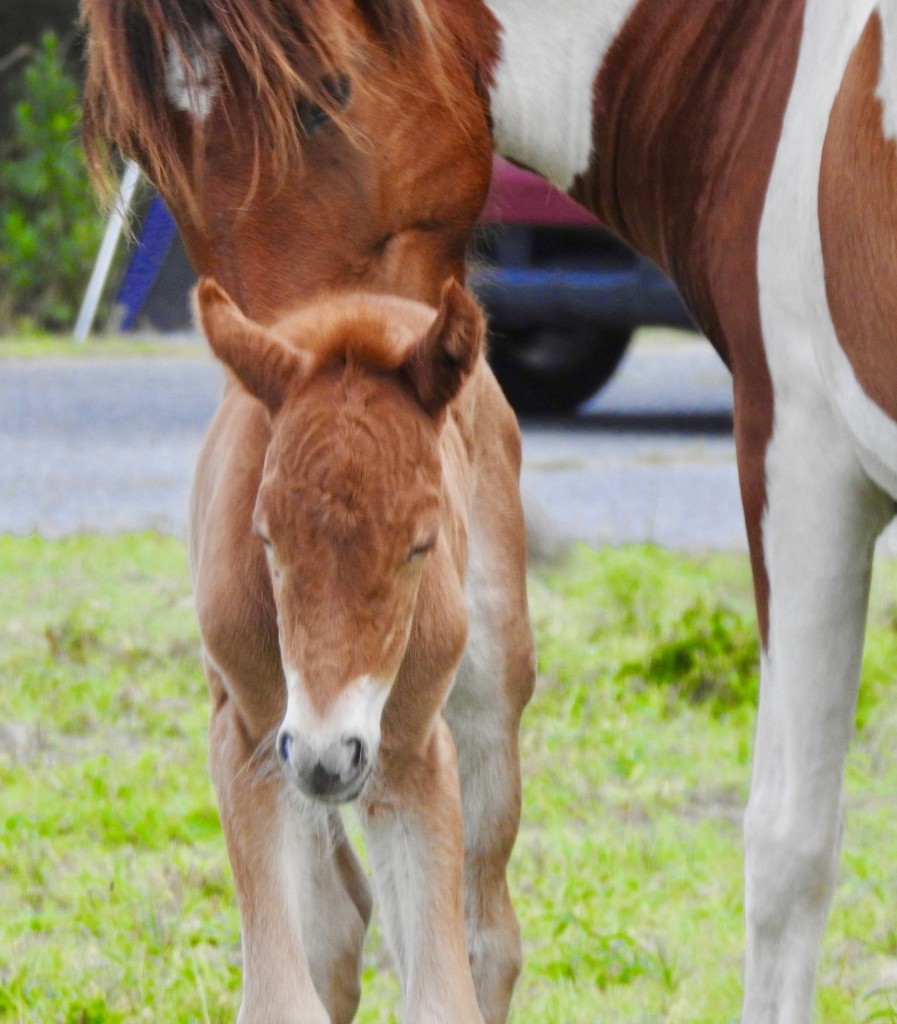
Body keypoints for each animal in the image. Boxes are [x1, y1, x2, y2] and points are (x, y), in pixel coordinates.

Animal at [190, 280, 532, 1024]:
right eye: (266, 539)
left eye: (420, 545)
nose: (330, 754)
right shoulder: (253, 741)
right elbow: (283, 996)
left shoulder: (411, 756)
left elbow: (442, 997)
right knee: (337, 925)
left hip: (487, 687)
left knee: (487, 934)